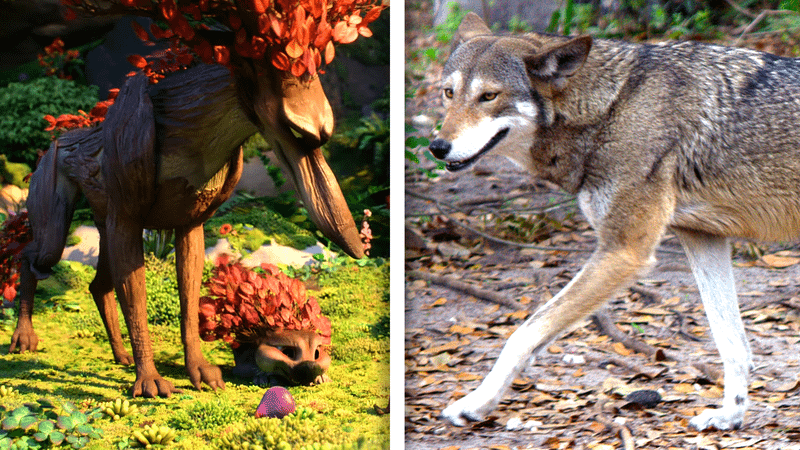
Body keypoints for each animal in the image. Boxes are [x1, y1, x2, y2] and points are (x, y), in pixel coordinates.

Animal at [429, 12, 800, 431]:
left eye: (488, 96)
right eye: (449, 93)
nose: (437, 147)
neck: (611, 108)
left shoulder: (623, 251)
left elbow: (524, 334)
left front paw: (475, 403)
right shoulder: (701, 238)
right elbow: (732, 343)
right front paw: (731, 415)